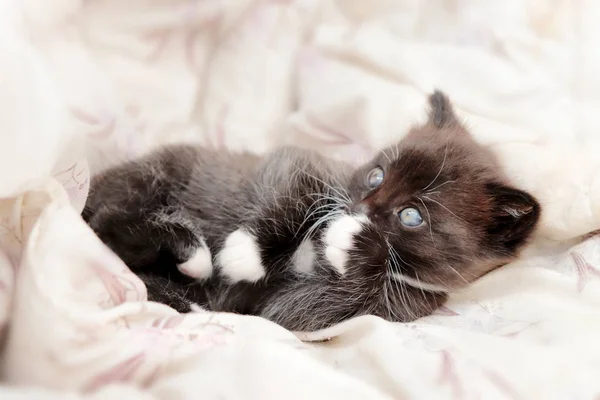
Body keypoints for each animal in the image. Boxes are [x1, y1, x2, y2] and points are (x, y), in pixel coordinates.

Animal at [83, 91, 540, 332]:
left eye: (412, 217)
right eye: (376, 175)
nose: (361, 208)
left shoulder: (384, 309)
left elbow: (298, 309)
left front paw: (358, 243)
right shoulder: (307, 167)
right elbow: (292, 190)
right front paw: (244, 255)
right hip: (157, 173)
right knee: (105, 221)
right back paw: (190, 253)